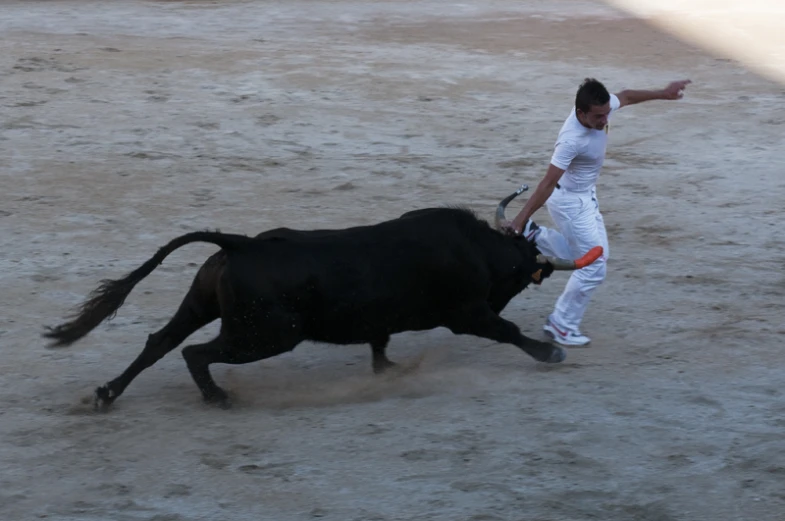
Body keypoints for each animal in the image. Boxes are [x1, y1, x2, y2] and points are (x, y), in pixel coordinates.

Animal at [43, 187, 600, 410]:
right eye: (524, 277)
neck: (479, 251)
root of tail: (240, 243)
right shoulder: (467, 314)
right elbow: (506, 331)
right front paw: (550, 352)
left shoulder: (383, 318)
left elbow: (379, 343)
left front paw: (390, 372)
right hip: (267, 334)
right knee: (194, 353)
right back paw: (219, 398)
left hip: (203, 306)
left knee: (160, 341)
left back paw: (106, 394)